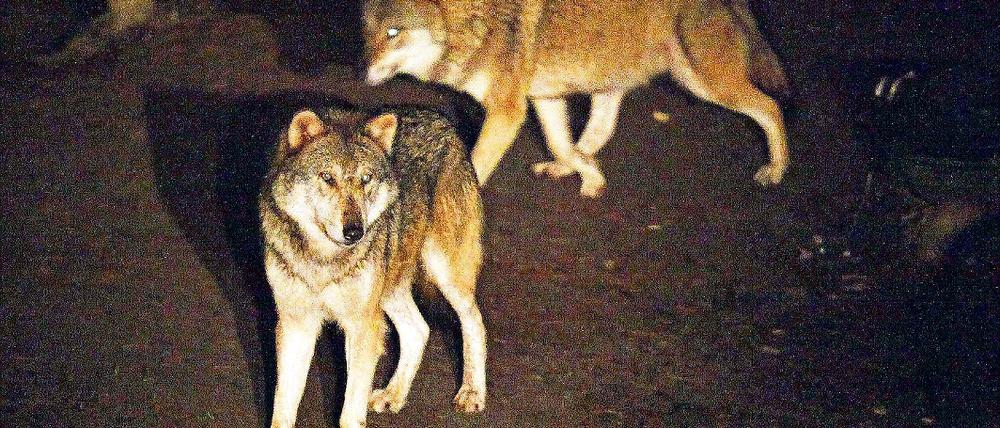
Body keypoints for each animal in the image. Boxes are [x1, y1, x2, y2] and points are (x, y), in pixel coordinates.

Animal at [259, 107, 488, 428]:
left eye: (365, 179)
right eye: (328, 178)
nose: (355, 231)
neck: (324, 259)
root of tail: (441, 119)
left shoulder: (362, 326)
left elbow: (349, 413)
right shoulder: (296, 324)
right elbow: (283, 410)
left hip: (444, 274)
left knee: (474, 322)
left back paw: (472, 392)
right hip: (390, 288)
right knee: (419, 330)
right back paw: (394, 394)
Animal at [363, 0, 791, 197]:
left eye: (394, 33)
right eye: (367, 34)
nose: (363, 74)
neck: (475, 23)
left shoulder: (507, 111)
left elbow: (477, 166)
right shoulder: (541, 100)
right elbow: (560, 143)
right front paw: (589, 173)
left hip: (705, 84)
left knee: (771, 107)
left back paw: (776, 170)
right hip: (614, 85)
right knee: (595, 133)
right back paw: (572, 169)